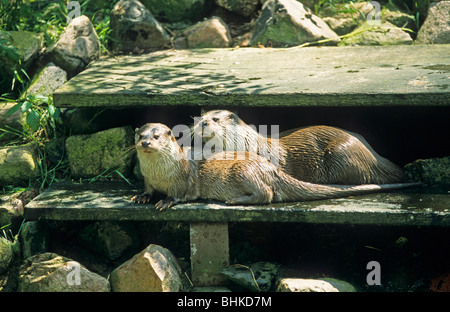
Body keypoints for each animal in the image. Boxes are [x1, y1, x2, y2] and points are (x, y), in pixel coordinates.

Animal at [132, 123, 416, 211]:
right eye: (140, 135)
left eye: (157, 136)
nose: (145, 142)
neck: (159, 174)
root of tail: (270, 168)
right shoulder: (148, 179)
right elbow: (147, 189)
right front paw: (141, 197)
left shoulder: (183, 180)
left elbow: (178, 194)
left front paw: (165, 201)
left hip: (243, 170)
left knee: (266, 194)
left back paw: (235, 200)